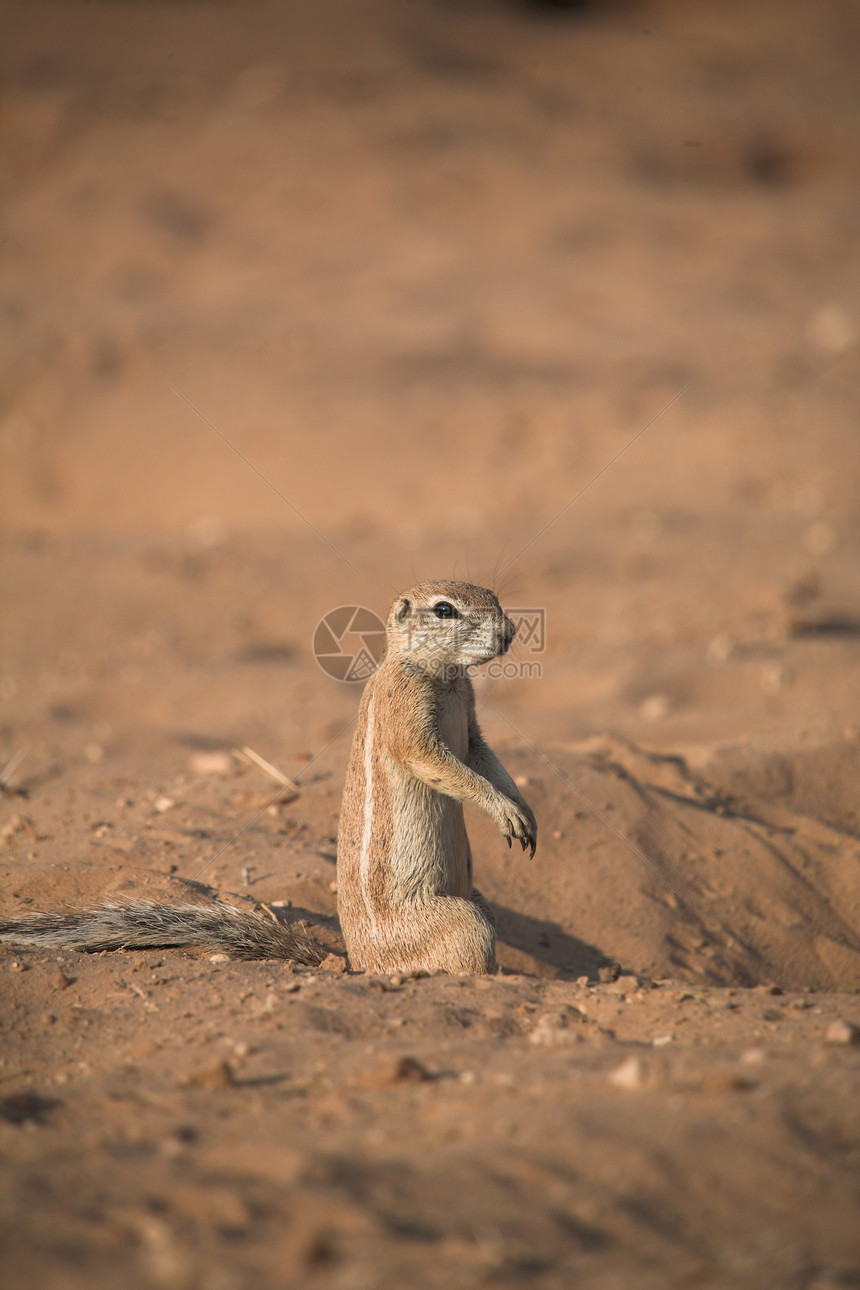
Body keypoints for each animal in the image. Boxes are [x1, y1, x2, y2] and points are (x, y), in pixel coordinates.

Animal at [0, 580, 533, 970]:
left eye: (494, 596)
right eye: (444, 610)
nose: (508, 631)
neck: (443, 675)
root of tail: (360, 966)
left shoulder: (473, 728)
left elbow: (484, 758)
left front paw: (523, 810)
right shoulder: (405, 712)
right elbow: (436, 762)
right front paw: (503, 810)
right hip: (461, 922)